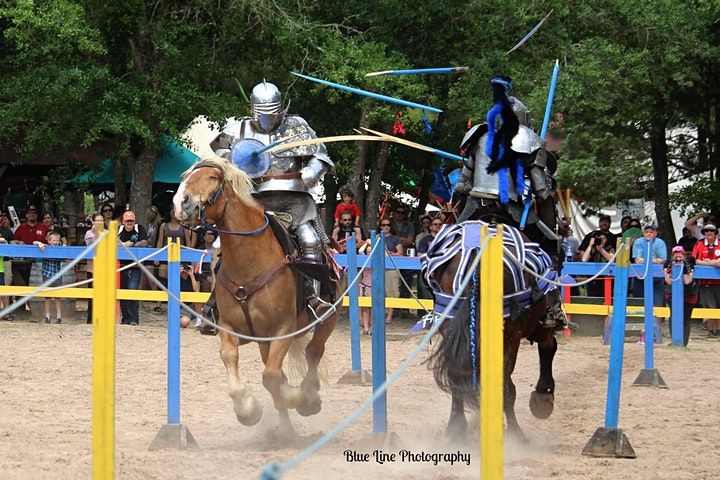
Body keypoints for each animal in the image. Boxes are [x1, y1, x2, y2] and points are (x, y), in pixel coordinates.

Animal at [173, 158, 338, 438]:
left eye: (212, 178)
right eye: (186, 177)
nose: (180, 202)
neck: (248, 263)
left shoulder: (283, 329)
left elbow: (272, 376)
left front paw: (298, 398)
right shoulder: (230, 328)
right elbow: (233, 360)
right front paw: (248, 410)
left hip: (327, 319)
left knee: (313, 351)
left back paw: (309, 397)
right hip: (263, 341)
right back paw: (285, 427)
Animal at [424, 221, 560, 442]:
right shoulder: (540, 327)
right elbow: (549, 347)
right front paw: (543, 395)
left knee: (455, 374)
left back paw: (456, 428)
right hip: (510, 336)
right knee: (505, 385)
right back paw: (515, 434)